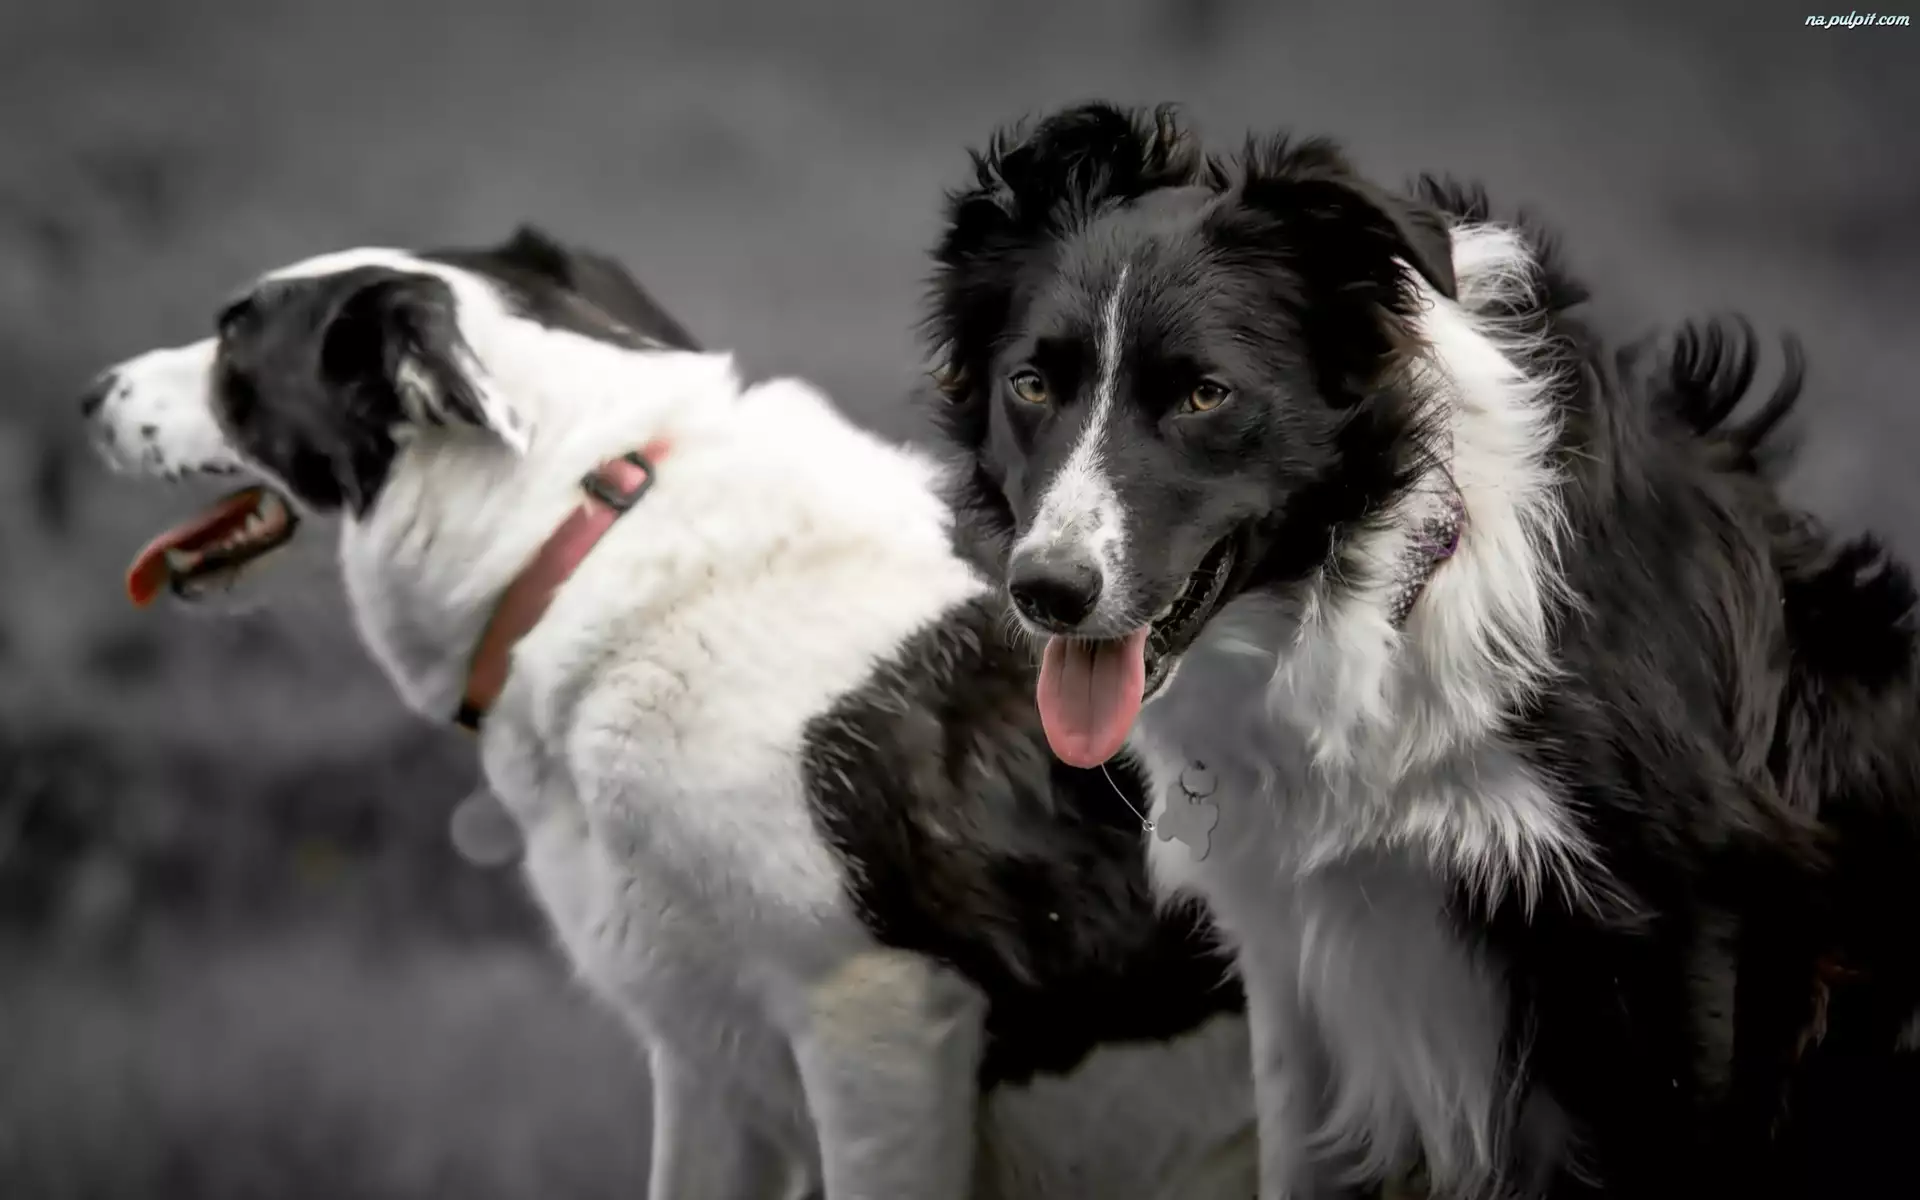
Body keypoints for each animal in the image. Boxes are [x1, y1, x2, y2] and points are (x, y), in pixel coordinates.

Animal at [918, 102, 1920, 1197]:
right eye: (1030, 385)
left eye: (1204, 397)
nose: (1049, 592)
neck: (1380, 596)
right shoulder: (1301, 959)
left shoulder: (1686, 940)